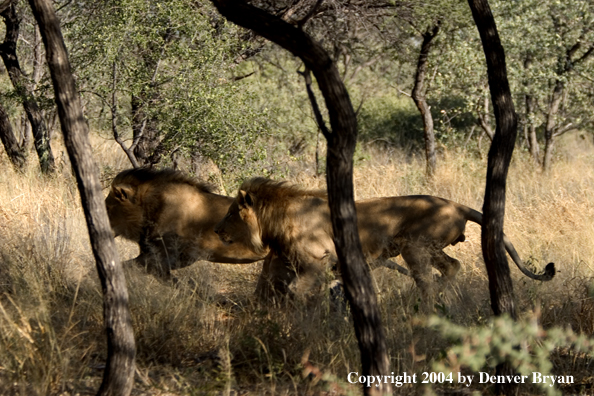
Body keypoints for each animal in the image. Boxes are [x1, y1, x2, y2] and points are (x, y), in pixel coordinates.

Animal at [214, 178, 556, 304]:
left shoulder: (316, 260)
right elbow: (264, 288)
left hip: (415, 246)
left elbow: (300, 292)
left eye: (230, 213)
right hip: (422, 247)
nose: (216, 230)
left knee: (434, 276)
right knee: (452, 267)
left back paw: (427, 302)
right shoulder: (281, 260)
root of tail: (458, 205)